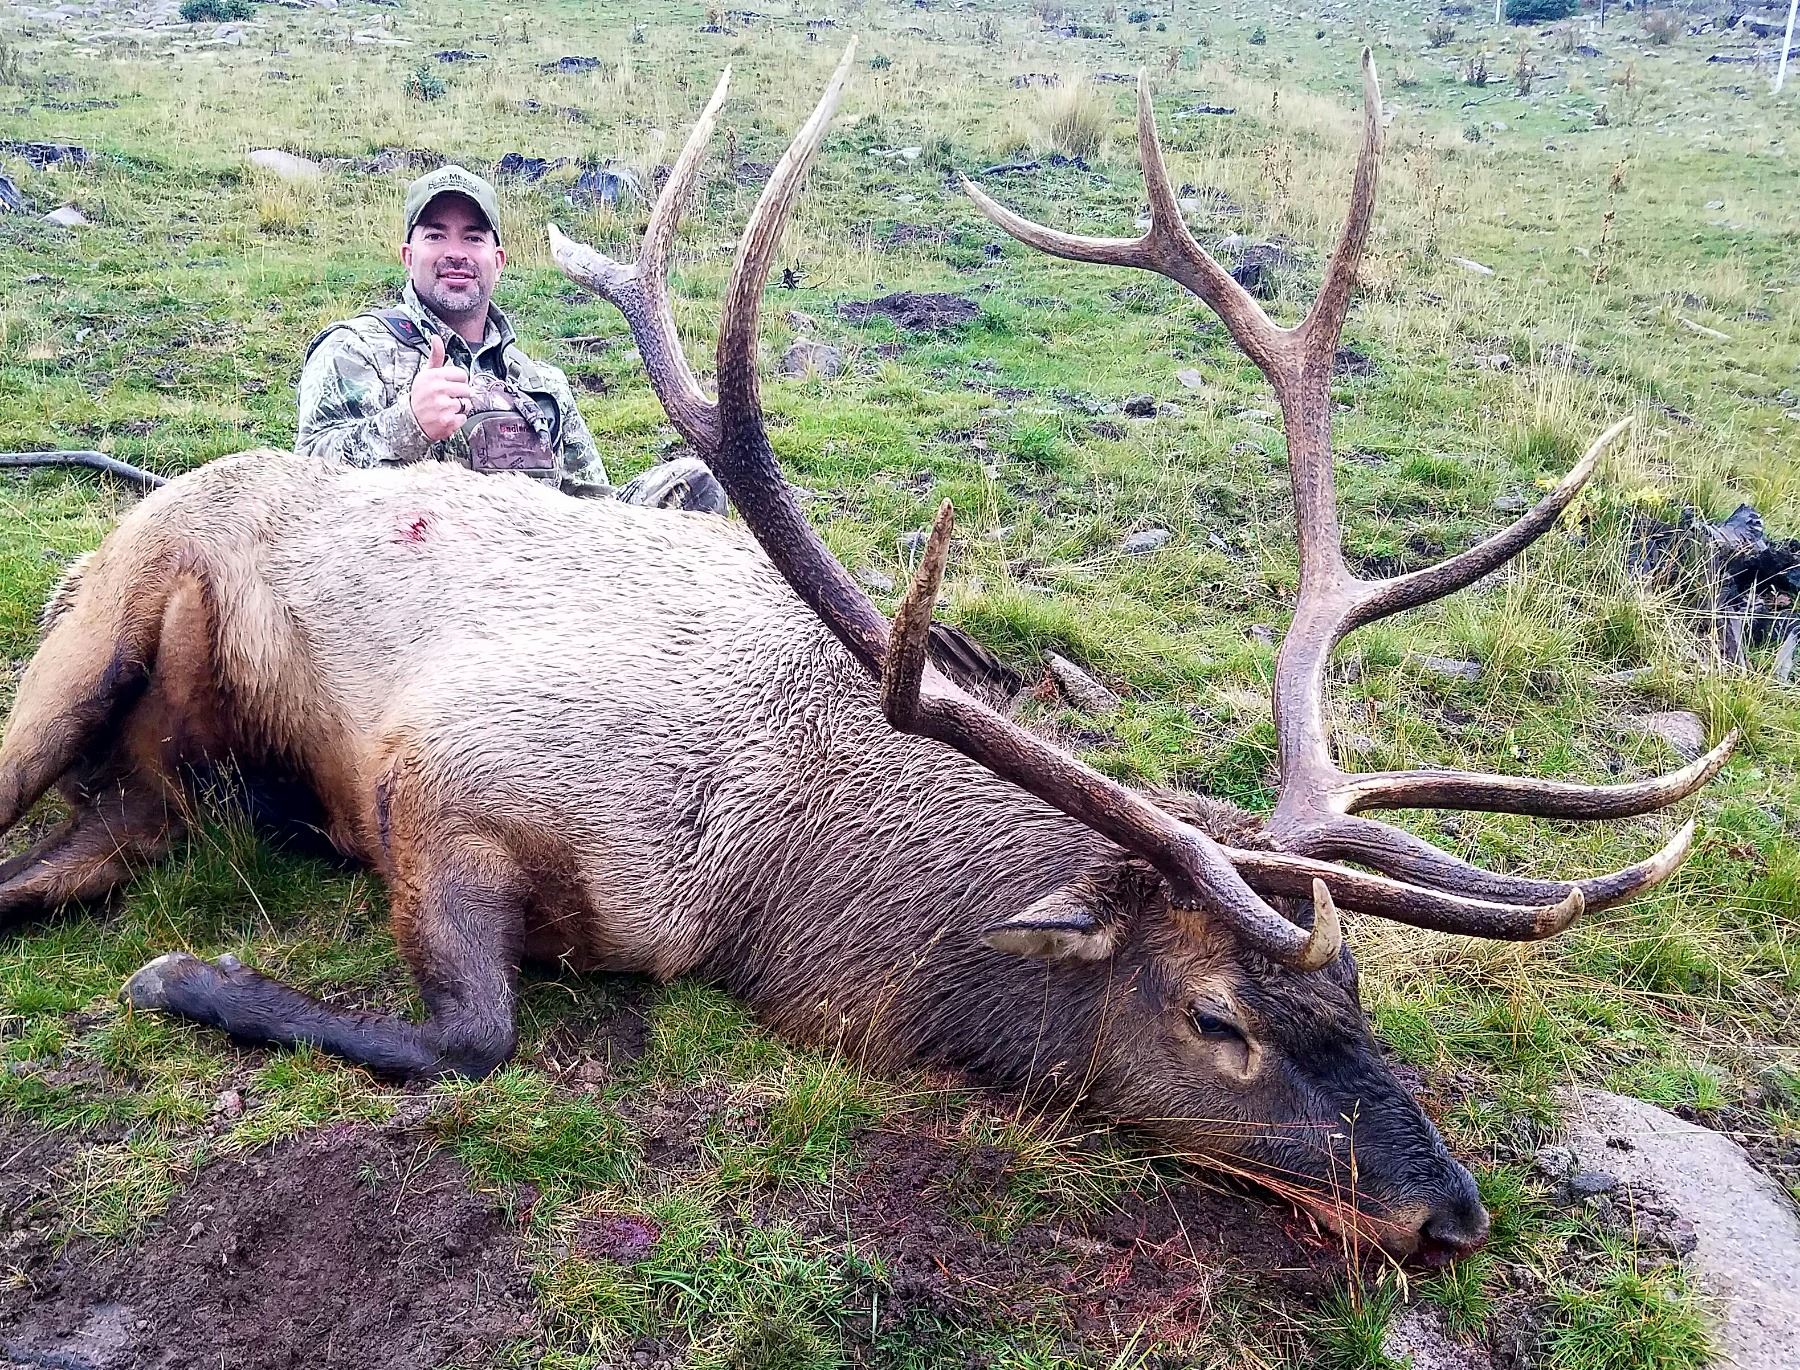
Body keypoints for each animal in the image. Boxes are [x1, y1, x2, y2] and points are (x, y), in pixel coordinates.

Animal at [0, 47, 1732, 1264]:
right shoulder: (448, 775)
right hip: (95, 625)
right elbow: (471, 1036)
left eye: (1360, 989)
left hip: (147, 789)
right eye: (1213, 1018)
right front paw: (187, 978)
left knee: (76, 853)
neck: (775, 880)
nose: (1453, 1212)